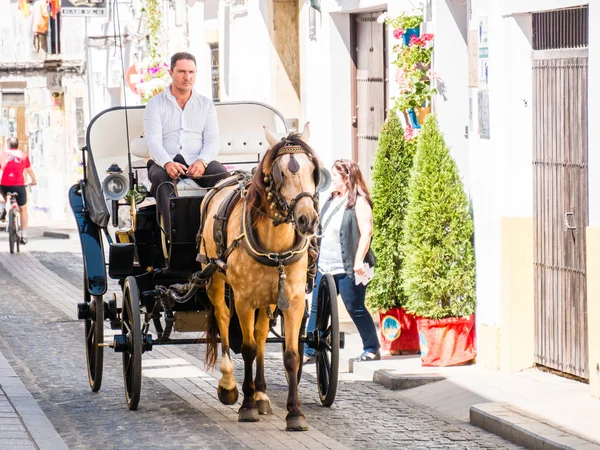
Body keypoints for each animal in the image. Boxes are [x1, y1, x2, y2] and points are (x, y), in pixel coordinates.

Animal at [199, 122, 322, 428]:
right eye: (280, 173)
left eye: (313, 170)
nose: (307, 220)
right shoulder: (243, 301)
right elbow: (247, 348)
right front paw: (246, 405)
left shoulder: (293, 300)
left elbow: (290, 355)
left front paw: (294, 413)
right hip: (215, 278)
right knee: (223, 319)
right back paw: (230, 385)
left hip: (268, 299)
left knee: (262, 333)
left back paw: (262, 394)